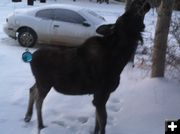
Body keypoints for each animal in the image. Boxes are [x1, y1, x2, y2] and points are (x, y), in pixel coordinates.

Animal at [23, 0, 150, 133]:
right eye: (125, 17)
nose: (137, 2)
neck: (120, 60)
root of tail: (31, 58)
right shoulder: (101, 93)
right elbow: (103, 121)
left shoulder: (98, 95)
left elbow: (97, 121)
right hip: (45, 83)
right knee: (39, 101)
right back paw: (40, 125)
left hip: (40, 82)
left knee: (32, 90)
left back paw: (28, 116)